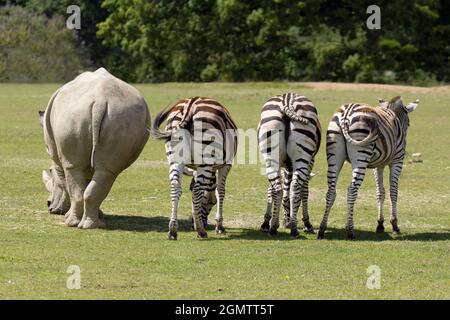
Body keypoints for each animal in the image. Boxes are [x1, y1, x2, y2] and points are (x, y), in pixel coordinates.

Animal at [150, 97, 237, 240]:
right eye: (211, 202)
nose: (191, 223)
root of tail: (190, 105)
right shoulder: (226, 165)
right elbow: (220, 192)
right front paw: (219, 226)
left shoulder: (196, 168)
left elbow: (193, 188)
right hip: (206, 157)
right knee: (197, 191)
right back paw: (201, 231)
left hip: (174, 158)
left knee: (175, 187)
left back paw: (173, 230)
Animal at [258, 92, 322, 238]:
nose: (285, 222)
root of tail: (288, 100)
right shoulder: (311, 161)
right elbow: (304, 192)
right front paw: (306, 223)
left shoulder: (286, 166)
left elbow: (274, 190)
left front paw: (268, 221)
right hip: (303, 157)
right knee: (296, 187)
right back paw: (294, 228)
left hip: (271, 156)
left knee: (278, 189)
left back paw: (274, 228)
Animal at [318, 96, 420, 239]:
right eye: (409, 123)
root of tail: (346, 114)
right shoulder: (397, 161)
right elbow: (393, 192)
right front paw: (394, 225)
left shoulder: (378, 166)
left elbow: (380, 192)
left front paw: (380, 224)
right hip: (361, 155)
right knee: (351, 190)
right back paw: (350, 231)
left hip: (334, 155)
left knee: (331, 191)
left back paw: (322, 229)